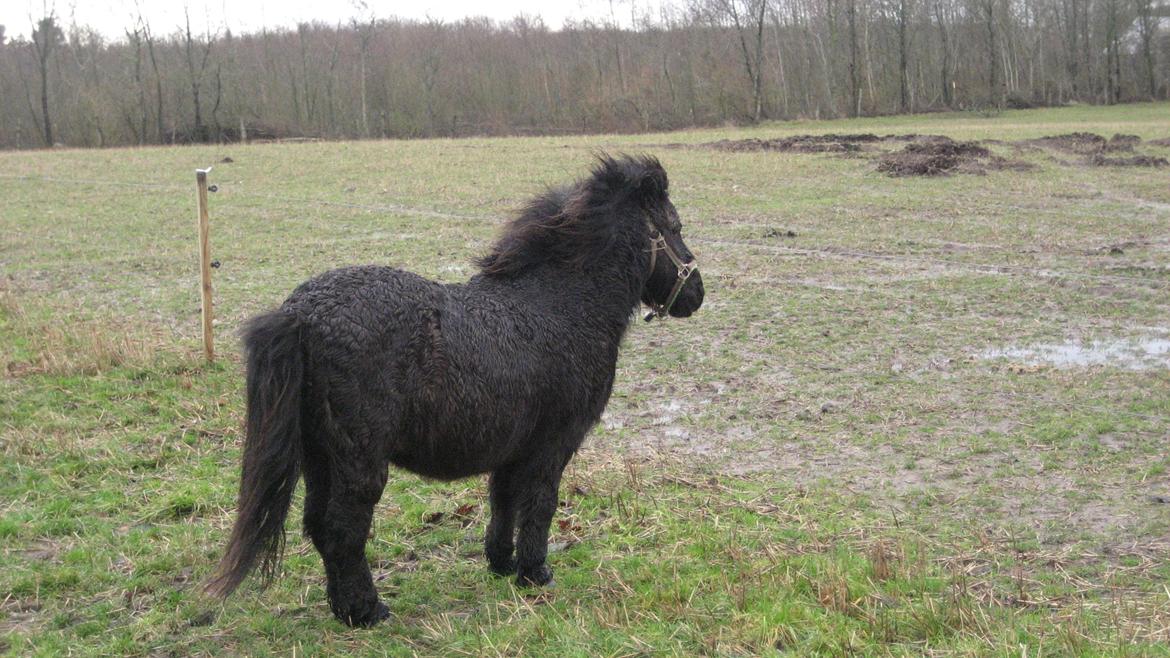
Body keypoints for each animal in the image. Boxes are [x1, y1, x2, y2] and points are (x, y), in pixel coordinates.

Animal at [203, 153, 702, 622]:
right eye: (674, 227)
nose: (697, 294)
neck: (562, 306)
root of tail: (300, 314)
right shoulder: (553, 443)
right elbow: (540, 504)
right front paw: (536, 574)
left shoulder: (513, 445)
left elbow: (504, 500)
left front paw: (501, 565)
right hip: (357, 460)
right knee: (342, 529)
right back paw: (368, 612)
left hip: (319, 456)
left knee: (318, 527)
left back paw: (344, 610)